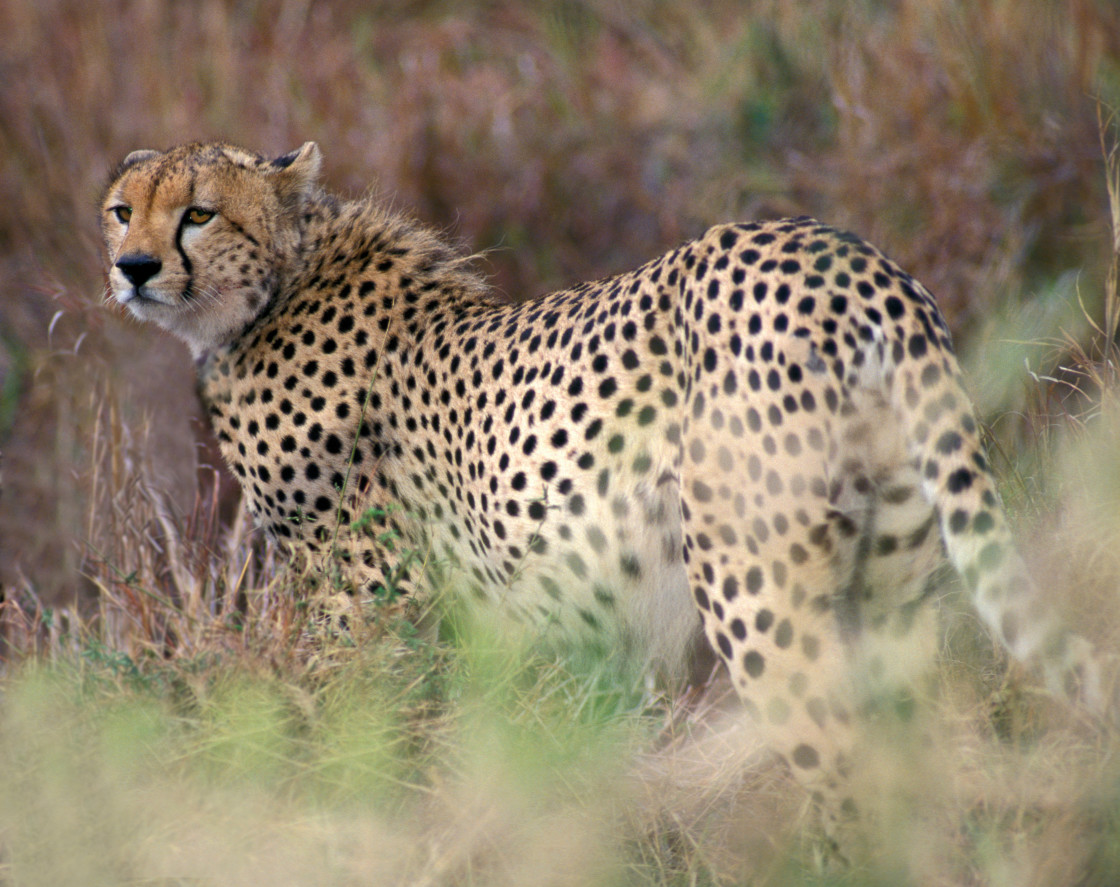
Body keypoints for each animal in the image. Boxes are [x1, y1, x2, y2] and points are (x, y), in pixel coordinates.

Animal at [103, 138, 1102, 824]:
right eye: (121, 210)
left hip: (759, 592)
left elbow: (355, 735)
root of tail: (848, 257)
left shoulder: (371, 603)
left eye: (198, 213)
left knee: (843, 763)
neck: (271, 289)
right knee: (918, 764)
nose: (133, 268)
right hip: (892, 592)